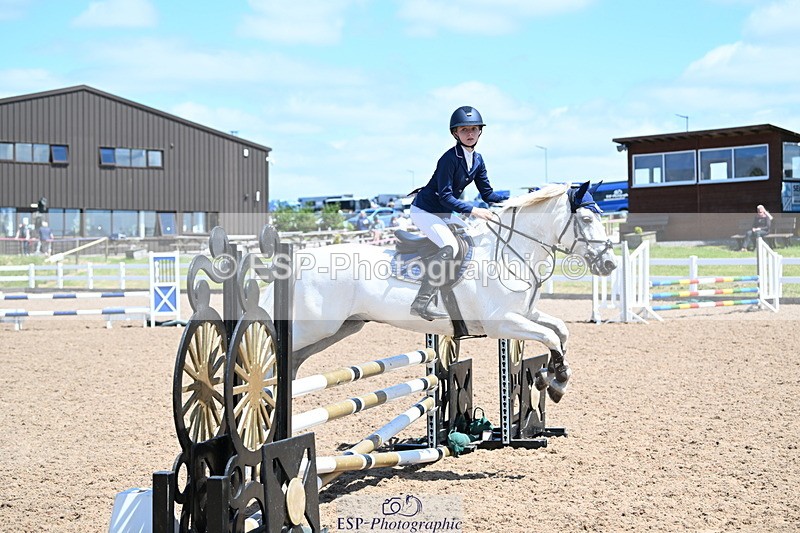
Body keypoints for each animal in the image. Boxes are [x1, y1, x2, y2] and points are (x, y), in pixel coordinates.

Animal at [261, 182, 617, 401]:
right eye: (586, 220)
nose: (609, 264)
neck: (509, 253)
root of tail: (301, 260)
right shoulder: (502, 323)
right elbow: (551, 336)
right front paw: (557, 380)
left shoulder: (524, 314)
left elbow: (560, 331)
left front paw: (552, 377)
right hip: (314, 326)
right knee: (278, 351)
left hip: (342, 327)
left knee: (292, 362)